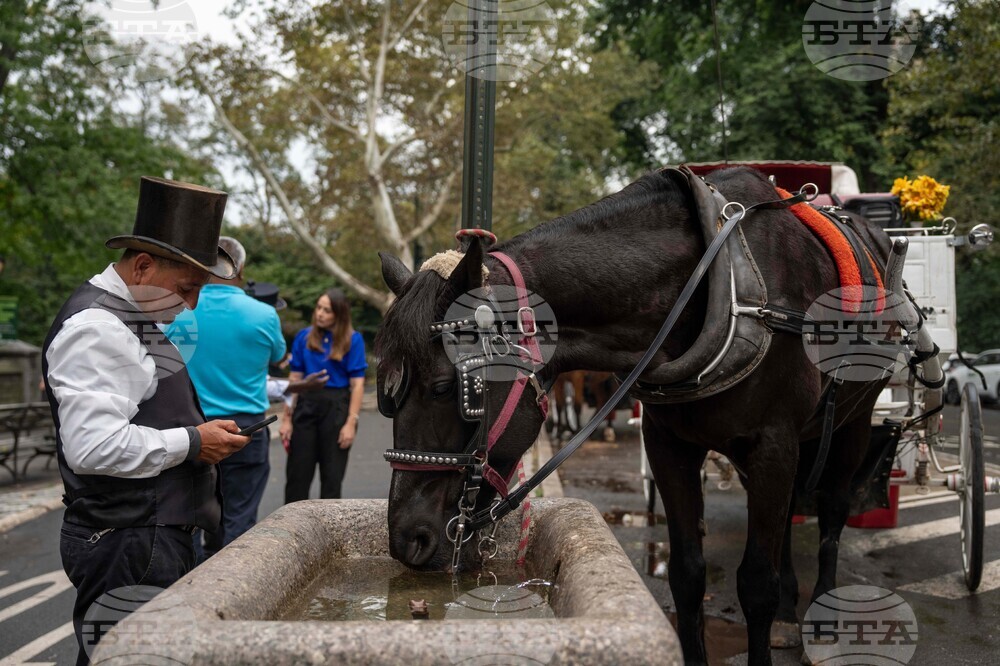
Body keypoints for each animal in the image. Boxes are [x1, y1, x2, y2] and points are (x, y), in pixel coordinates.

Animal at [375, 166, 896, 666]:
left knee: (832, 511)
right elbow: (688, 574)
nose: (406, 540)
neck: (720, 280)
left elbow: (756, 584)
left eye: (446, 388)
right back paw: (792, 610)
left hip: (852, 421)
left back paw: (824, 614)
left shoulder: (772, 443)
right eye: (387, 394)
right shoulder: (669, 444)